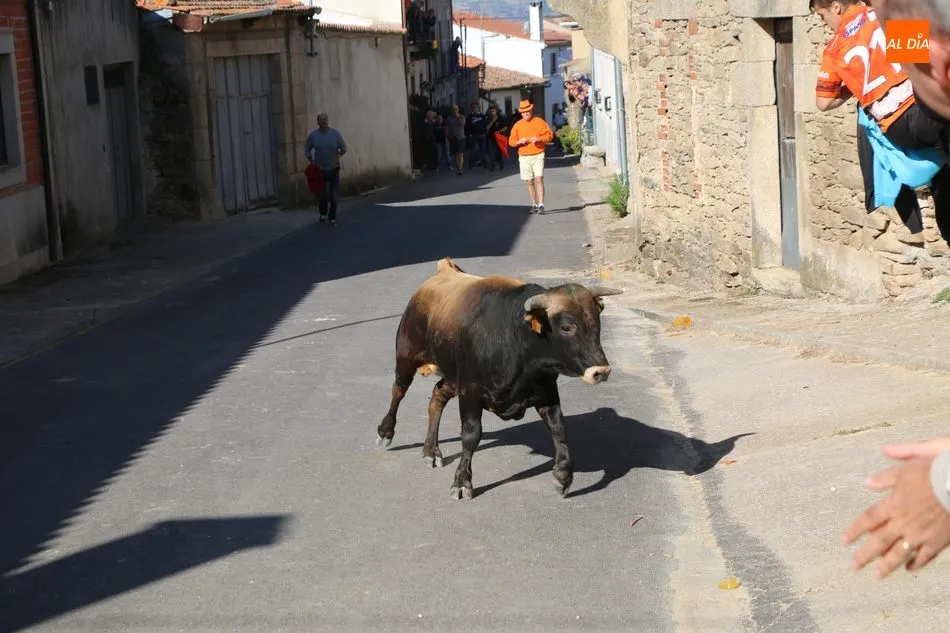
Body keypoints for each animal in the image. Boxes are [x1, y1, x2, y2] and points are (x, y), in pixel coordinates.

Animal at [375, 257, 623, 500]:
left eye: (596, 322)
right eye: (566, 327)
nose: (601, 371)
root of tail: (444, 271)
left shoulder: (547, 391)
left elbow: (558, 428)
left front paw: (563, 476)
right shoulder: (470, 391)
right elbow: (471, 435)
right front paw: (462, 482)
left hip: (452, 376)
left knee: (437, 396)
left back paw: (431, 450)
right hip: (406, 356)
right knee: (399, 390)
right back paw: (386, 432)